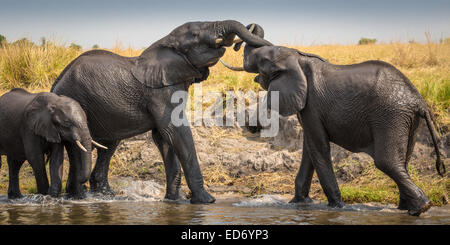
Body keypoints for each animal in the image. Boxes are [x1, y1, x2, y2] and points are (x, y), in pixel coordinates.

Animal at [51, 19, 272, 203]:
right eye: (195, 35)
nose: (250, 27)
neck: (166, 41)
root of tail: (55, 84)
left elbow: (164, 138)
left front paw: (173, 200)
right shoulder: (159, 93)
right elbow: (175, 131)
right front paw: (206, 200)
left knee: (109, 144)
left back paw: (102, 195)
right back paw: (78, 197)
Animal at [221, 24, 442, 216]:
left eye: (263, 60)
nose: (234, 43)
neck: (298, 58)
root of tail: (419, 101)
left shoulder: (312, 103)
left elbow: (318, 148)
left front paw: (336, 207)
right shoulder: (308, 108)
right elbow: (309, 149)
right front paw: (299, 203)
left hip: (390, 115)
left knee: (386, 162)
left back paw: (420, 208)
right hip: (406, 120)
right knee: (403, 160)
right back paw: (405, 208)